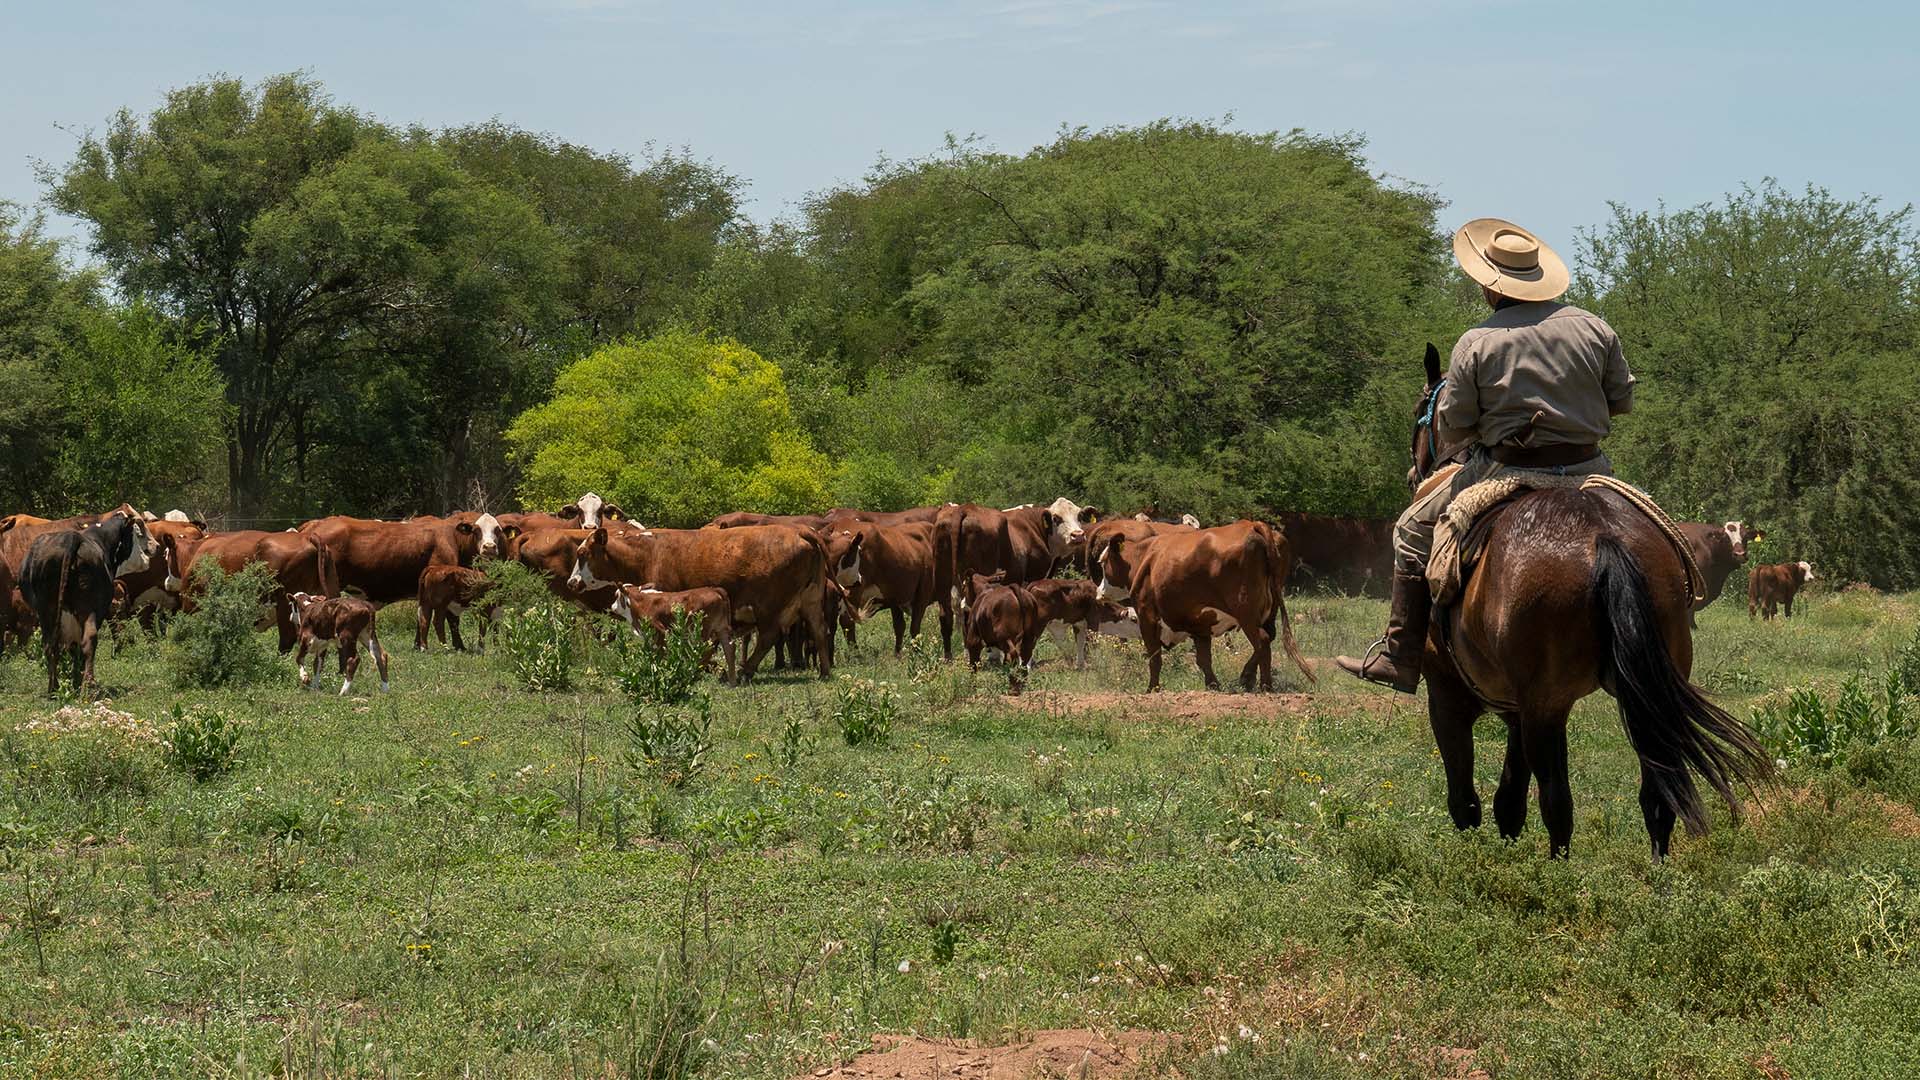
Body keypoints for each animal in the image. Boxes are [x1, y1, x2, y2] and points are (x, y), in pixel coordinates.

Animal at [19, 511, 151, 687]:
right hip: (88, 608)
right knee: (89, 639)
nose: (147, 556)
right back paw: (88, 684)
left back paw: (54, 687)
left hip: (47, 610)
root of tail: (72, 538)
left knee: (50, 644)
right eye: (136, 534)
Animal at [1413, 343, 1766, 857]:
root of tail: (1602, 535)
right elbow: (1509, 799)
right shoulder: (1514, 710)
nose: (1416, 468)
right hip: (1644, 693)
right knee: (1656, 795)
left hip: (1548, 707)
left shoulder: (1449, 696)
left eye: (1421, 411)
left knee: (1557, 802)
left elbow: (1468, 800)